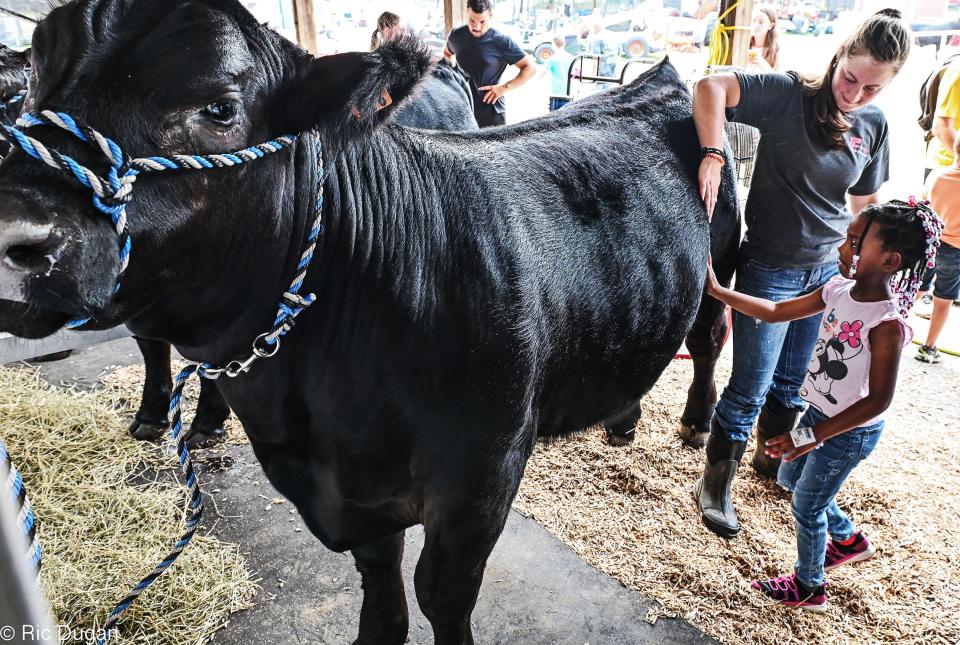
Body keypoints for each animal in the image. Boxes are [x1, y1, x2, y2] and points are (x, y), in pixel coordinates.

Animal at [0, 2, 740, 640]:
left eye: (220, 107)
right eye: (33, 79)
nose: (13, 229)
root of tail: (658, 79)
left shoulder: (483, 478)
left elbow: (441, 593)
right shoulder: (356, 495)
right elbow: (381, 586)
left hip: (721, 267)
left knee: (708, 342)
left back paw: (695, 422)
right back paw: (622, 418)